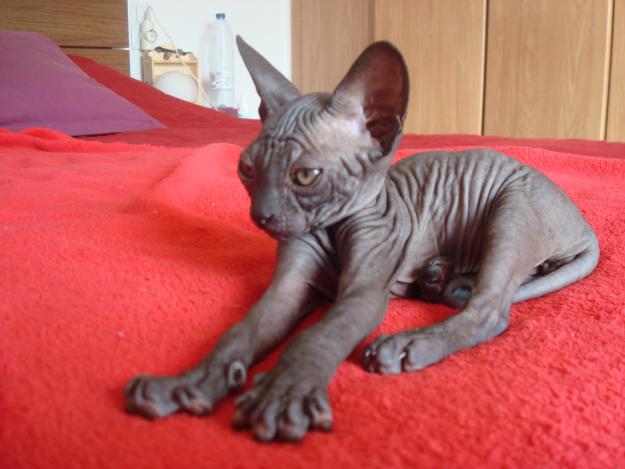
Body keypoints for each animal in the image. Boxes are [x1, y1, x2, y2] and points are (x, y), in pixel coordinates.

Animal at [125, 37, 599, 442]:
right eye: (247, 170)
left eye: (305, 176)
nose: (261, 215)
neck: (331, 227)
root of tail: (585, 226)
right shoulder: (287, 287)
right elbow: (239, 331)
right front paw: (189, 383)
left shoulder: (363, 293)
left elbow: (318, 335)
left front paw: (282, 394)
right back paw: (436, 277)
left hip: (512, 205)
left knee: (491, 309)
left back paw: (409, 343)